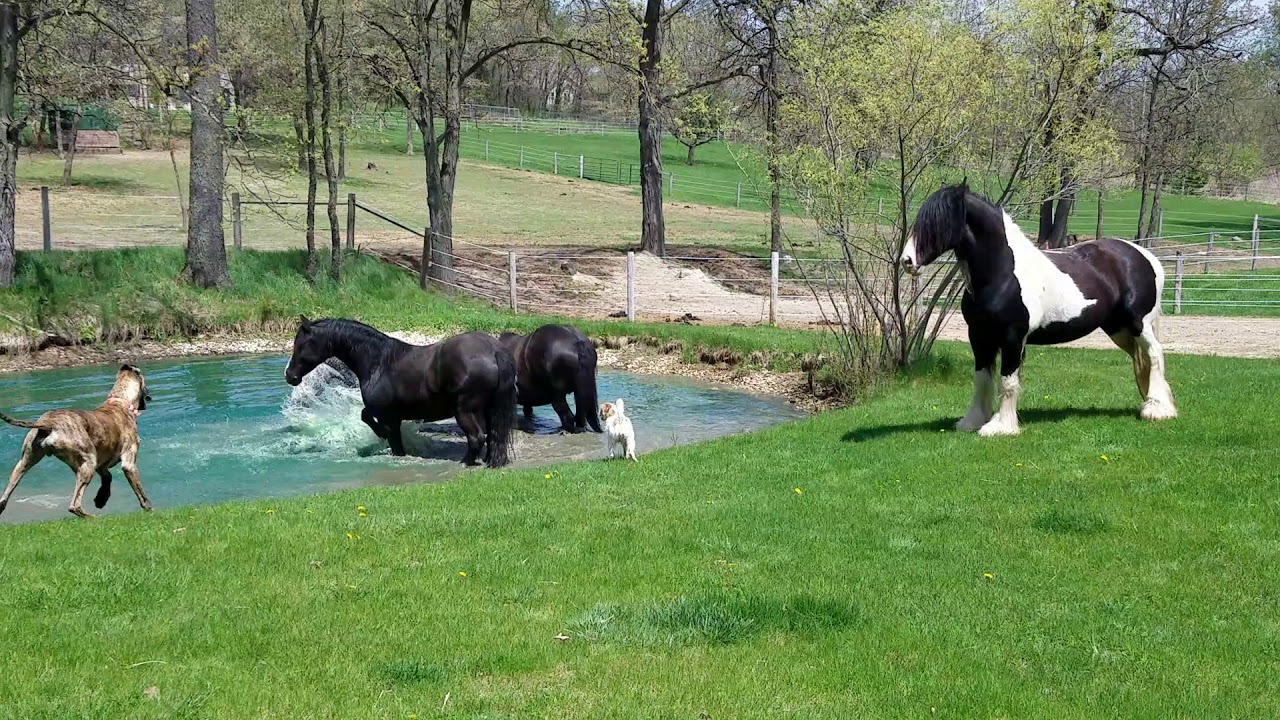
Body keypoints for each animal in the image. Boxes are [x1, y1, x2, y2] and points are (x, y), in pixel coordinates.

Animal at [0, 364, 154, 519]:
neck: (120, 400)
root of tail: (49, 423)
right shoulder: (128, 463)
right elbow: (140, 491)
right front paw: (149, 508)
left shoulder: (101, 465)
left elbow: (108, 478)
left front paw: (101, 499)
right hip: (88, 463)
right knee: (74, 505)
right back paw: (92, 518)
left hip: (25, 462)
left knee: (5, 496)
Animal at [284, 317, 517, 467]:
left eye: (301, 345)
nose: (290, 375)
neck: (379, 361)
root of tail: (493, 350)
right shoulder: (394, 417)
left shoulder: (388, 417)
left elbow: (382, 431)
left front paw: (381, 435)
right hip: (488, 410)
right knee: (492, 436)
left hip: (464, 411)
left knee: (477, 437)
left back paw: (465, 462)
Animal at [901, 182, 1176, 436]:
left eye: (938, 222)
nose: (907, 261)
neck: (1002, 273)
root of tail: (1144, 256)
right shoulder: (979, 336)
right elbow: (982, 379)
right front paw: (973, 421)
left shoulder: (1013, 337)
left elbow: (1008, 380)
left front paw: (1001, 427)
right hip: (1118, 329)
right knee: (1142, 359)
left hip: (1139, 323)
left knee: (1154, 354)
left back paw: (1157, 410)